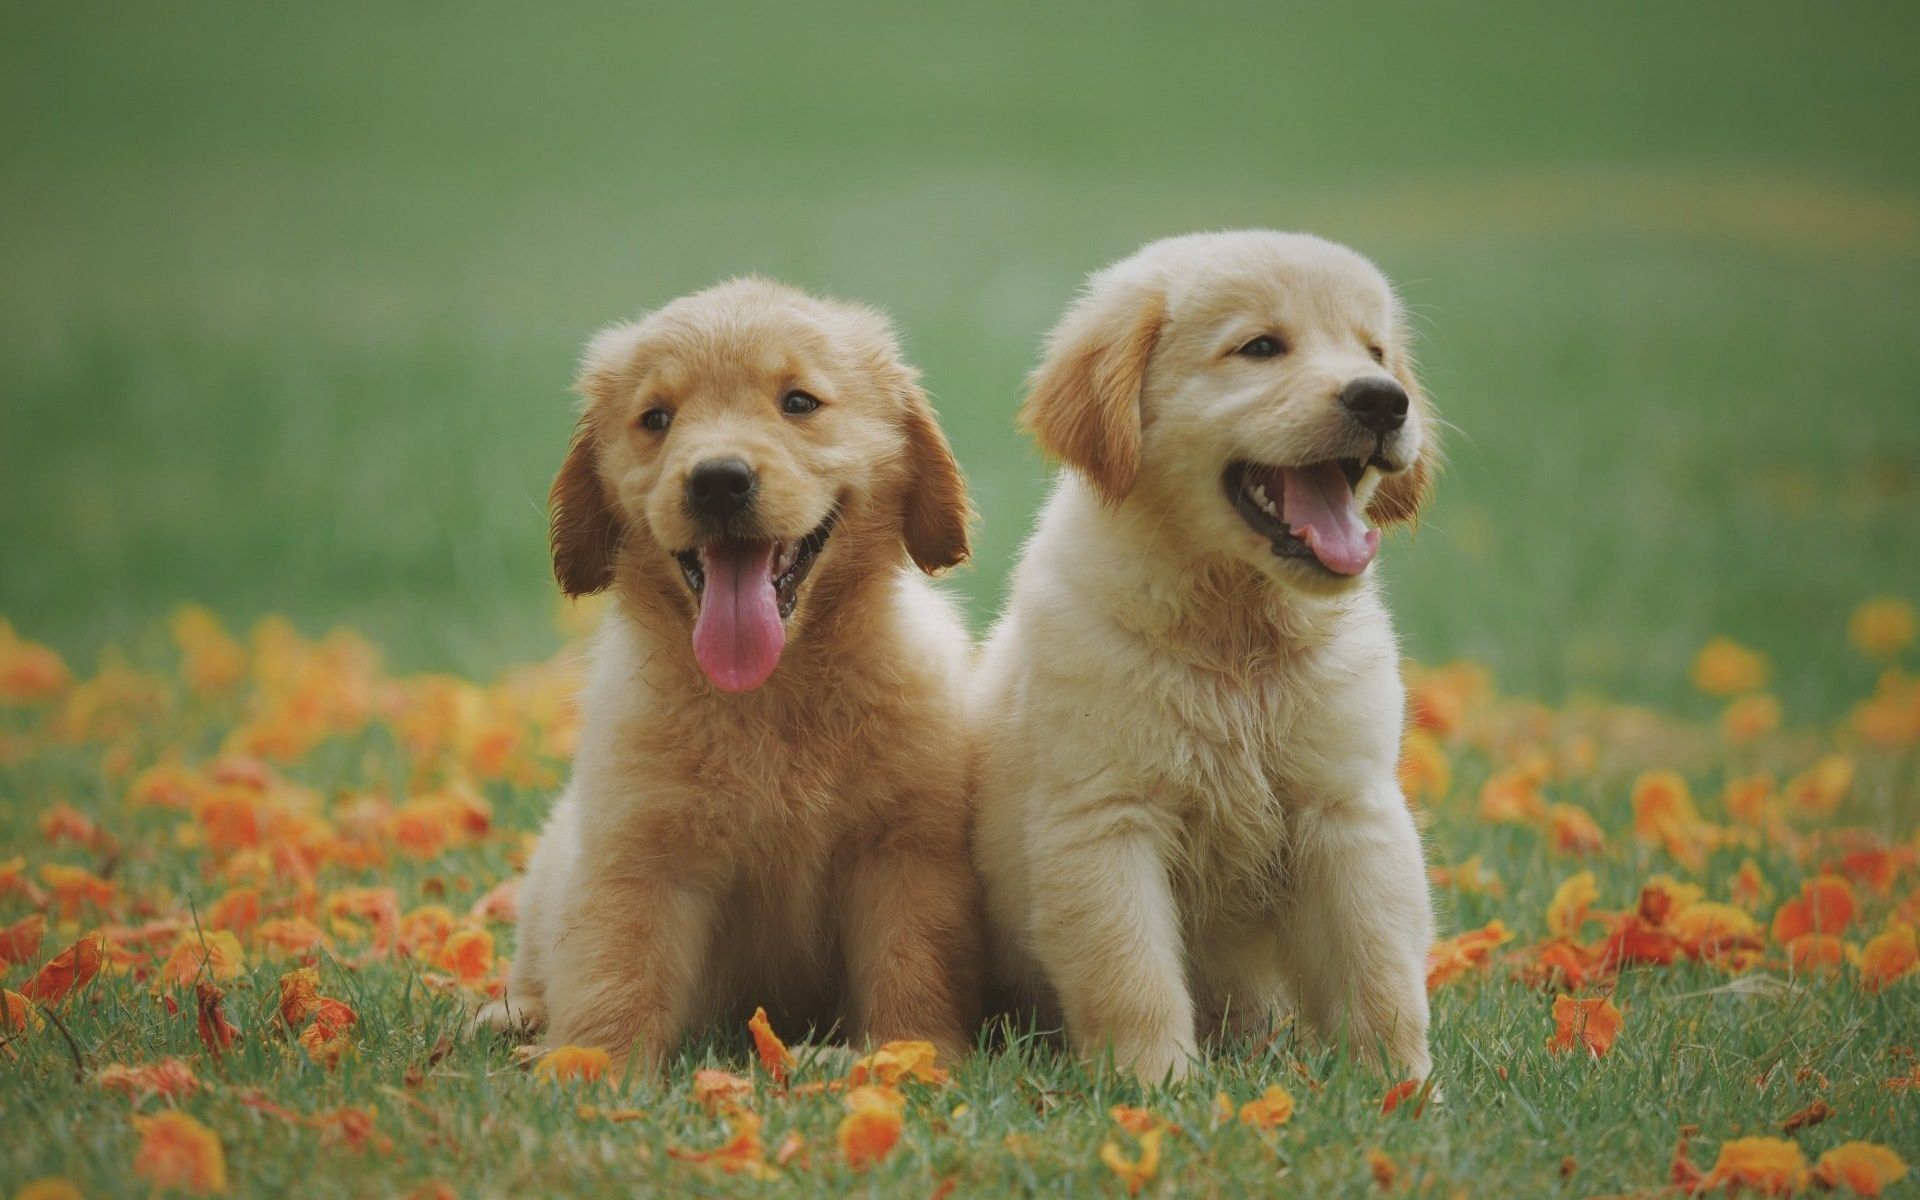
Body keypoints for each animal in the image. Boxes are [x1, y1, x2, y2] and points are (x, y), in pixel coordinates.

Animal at [483, 278, 975, 1059]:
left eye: (798, 402)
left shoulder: (904, 850)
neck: (770, 693)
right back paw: (515, 1015)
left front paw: (910, 1054)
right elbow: (616, 967)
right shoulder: (639, 851)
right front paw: (592, 1063)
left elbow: (911, 963)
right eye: (656, 418)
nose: (718, 481)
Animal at [975, 229, 1443, 1082]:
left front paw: (1403, 1087)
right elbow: (1131, 973)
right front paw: (1154, 1087)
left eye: (1375, 352)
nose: (1384, 400)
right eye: (1260, 348)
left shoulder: (1348, 809)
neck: (1235, 635)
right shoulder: (1106, 820)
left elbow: (1381, 966)